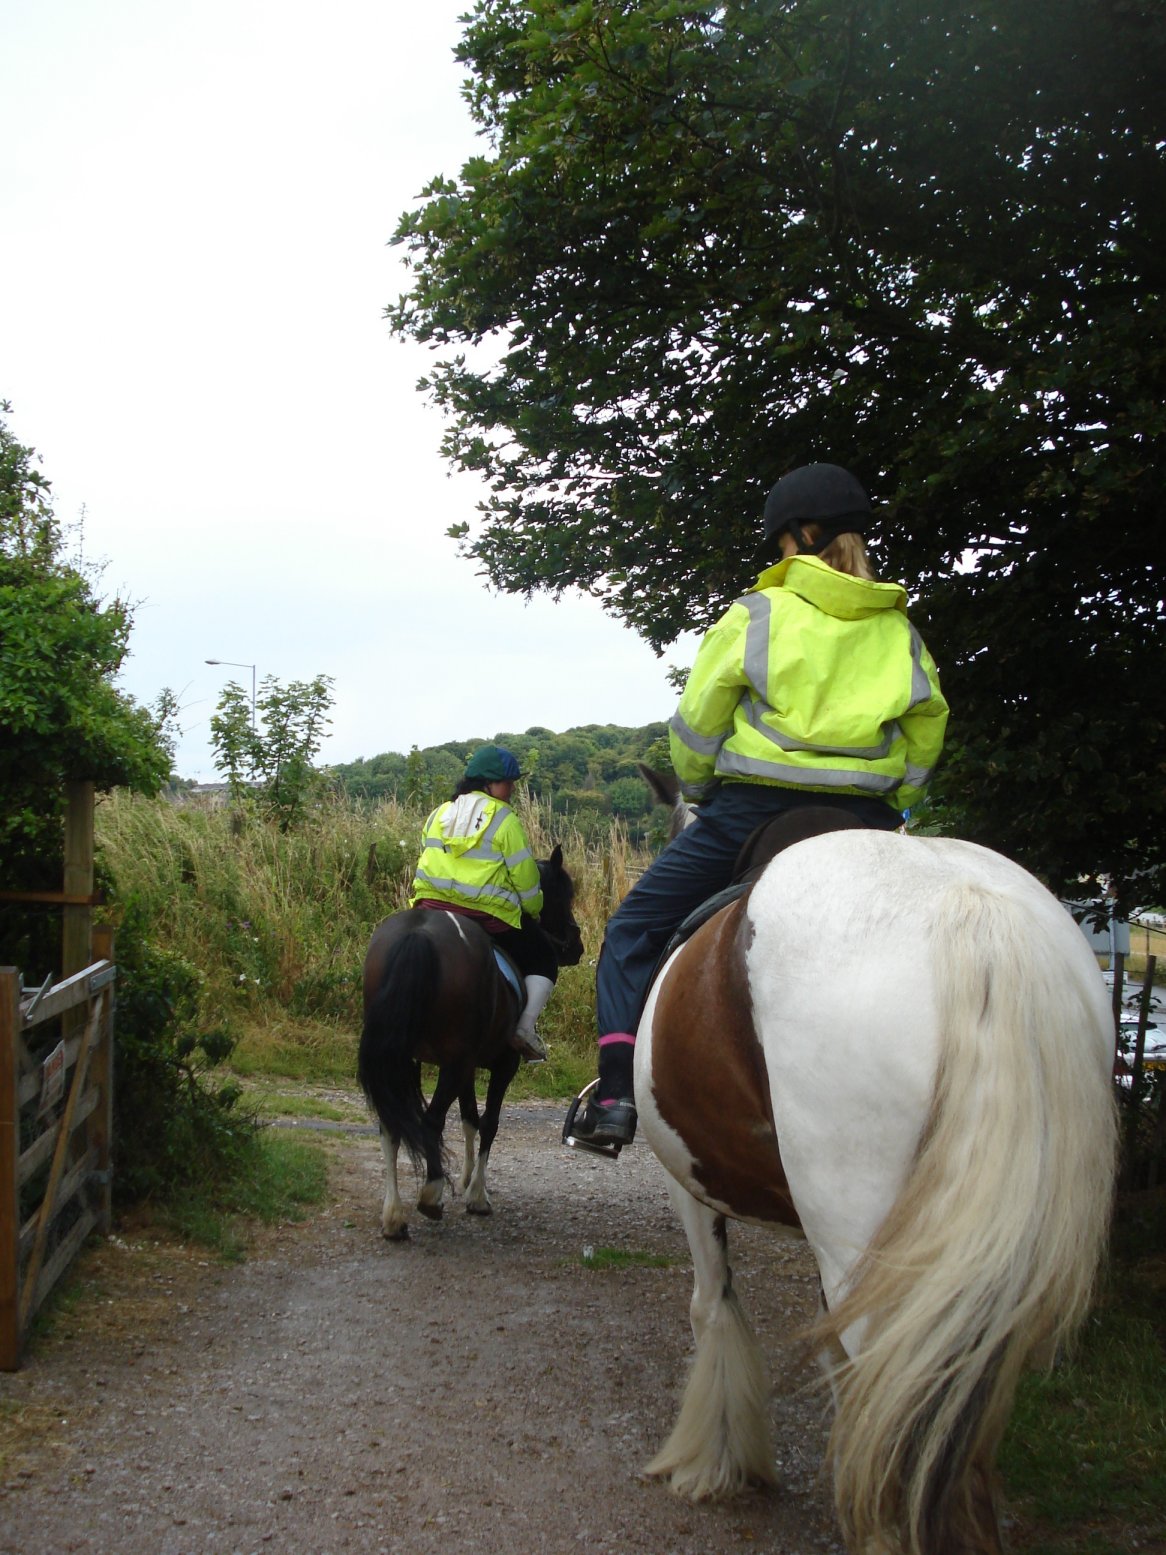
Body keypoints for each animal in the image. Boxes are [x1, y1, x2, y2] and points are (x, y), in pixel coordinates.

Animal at [358, 844, 583, 1239]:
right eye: (563, 895)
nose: (577, 945)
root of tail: (419, 934)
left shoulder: (465, 1065)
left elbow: (468, 1119)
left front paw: (466, 1183)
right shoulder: (502, 1064)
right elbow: (489, 1122)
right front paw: (477, 1195)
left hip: (405, 1059)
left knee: (391, 1126)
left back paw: (394, 1216)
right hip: (453, 1063)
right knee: (430, 1121)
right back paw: (430, 1195)